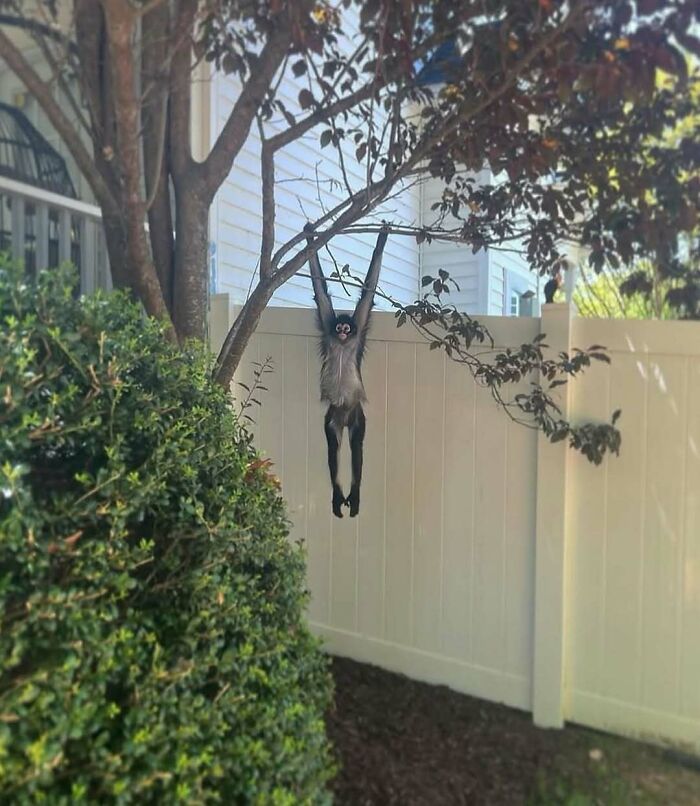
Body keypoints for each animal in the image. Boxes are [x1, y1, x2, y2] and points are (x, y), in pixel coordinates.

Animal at [305, 224, 389, 518]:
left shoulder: (359, 326)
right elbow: (319, 289)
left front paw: (382, 237)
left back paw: (354, 493)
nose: (342, 331)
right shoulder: (328, 322)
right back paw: (338, 494)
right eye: (338, 327)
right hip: (332, 420)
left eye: (347, 328)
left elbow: (368, 291)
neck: (341, 344)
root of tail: (342, 414)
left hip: (355, 416)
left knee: (356, 447)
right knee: (333, 448)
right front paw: (309, 234)